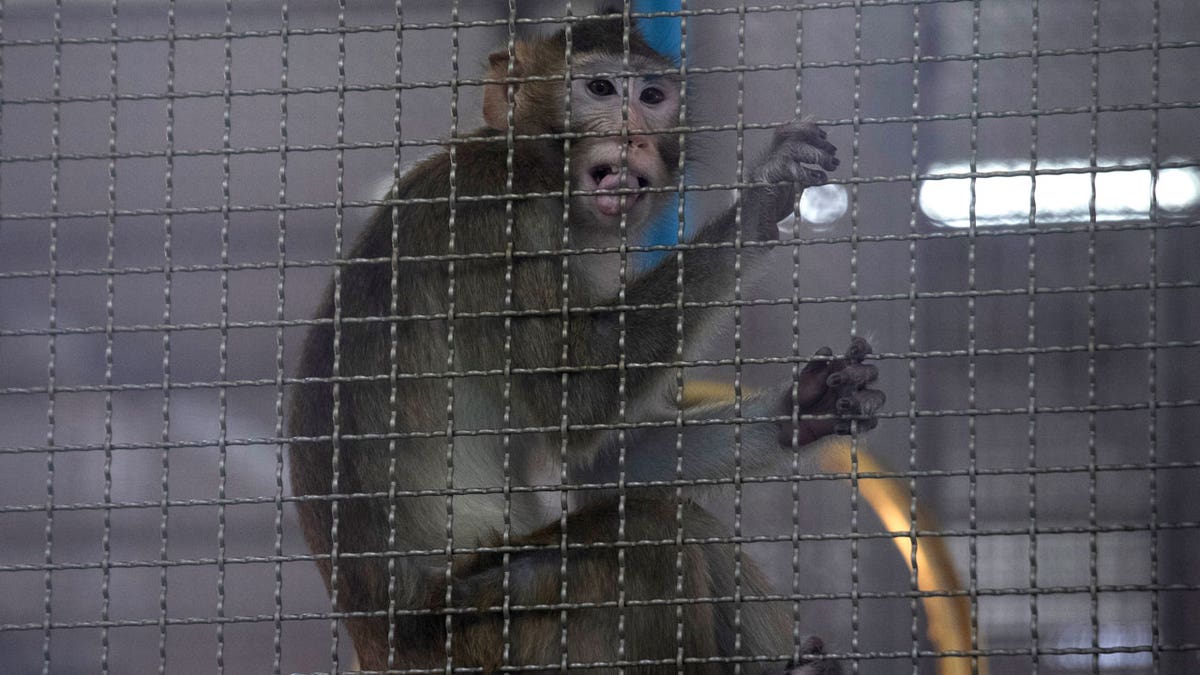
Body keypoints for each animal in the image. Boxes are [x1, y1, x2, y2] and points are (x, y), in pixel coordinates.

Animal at [285, 11, 878, 672]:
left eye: (651, 97)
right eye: (599, 89)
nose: (633, 135)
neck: (534, 162)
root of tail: (380, 648)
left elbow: (595, 468)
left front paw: (803, 407)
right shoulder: (499, 217)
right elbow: (576, 397)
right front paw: (756, 203)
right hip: (489, 631)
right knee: (646, 538)